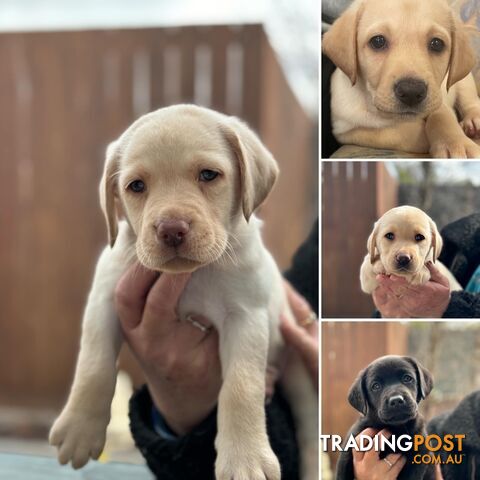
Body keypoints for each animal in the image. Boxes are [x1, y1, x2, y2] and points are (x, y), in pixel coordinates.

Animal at [48, 105, 318, 480]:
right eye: (136, 186)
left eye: (208, 175)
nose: (170, 229)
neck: (192, 275)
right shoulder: (105, 296)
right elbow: (93, 364)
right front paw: (79, 429)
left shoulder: (246, 317)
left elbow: (241, 386)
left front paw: (245, 459)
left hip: (298, 369)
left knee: (309, 433)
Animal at [324, 0, 480, 158]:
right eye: (378, 41)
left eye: (437, 44)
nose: (411, 92)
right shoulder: (345, 130)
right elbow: (388, 134)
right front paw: (421, 137)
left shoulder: (438, 101)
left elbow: (443, 116)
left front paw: (456, 143)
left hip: (465, 82)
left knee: (471, 102)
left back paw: (474, 121)